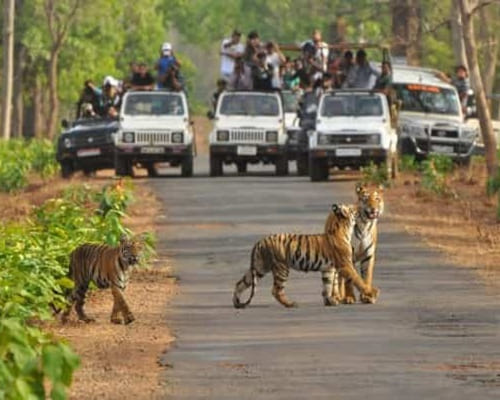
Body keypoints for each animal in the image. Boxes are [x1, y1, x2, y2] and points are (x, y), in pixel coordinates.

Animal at [232, 205, 380, 308]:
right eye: (353, 208)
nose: (361, 208)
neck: (343, 229)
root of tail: (260, 241)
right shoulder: (345, 265)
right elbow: (357, 279)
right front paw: (372, 293)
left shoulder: (328, 268)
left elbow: (327, 285)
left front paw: (330, 301)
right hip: (281, 268)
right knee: (276, 290)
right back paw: (290, 304)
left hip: (259, 268)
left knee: (240, 283)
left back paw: (236, 303)